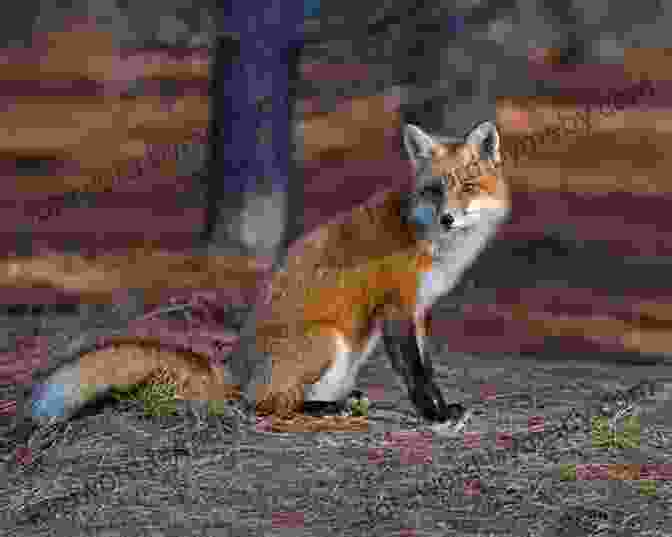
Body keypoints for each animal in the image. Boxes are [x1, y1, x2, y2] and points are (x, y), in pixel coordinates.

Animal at [26, 120, 510, 432]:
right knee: (265, 406)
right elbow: (417, 375)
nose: (448, 218)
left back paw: (339, 403)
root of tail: (233, 371)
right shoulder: (397, 309)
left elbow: (427, 366)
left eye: (467, 186)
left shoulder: (420, 311)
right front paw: (437, 417)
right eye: (434, 189)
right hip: (328, 340)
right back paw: (325, 413)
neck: (430, 241)